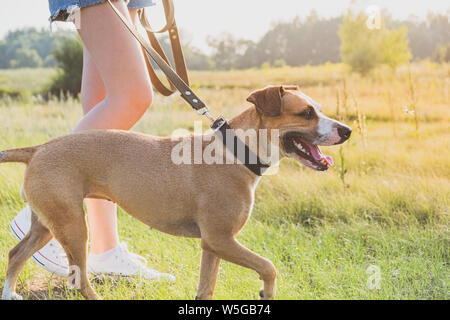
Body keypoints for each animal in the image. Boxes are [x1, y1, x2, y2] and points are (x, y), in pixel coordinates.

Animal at [0, 85, 352, 300]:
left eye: (318, 109)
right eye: (306, 113)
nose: (347, 130)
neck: (237, 151)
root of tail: (38, 149)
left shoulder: (212, 246)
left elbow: (206, 288)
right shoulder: (221, 240)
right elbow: (268, 266)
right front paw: (266, 292)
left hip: (47, 225)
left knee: (16, 254)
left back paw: (9, 292)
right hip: (73, 227)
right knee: (79, 278)